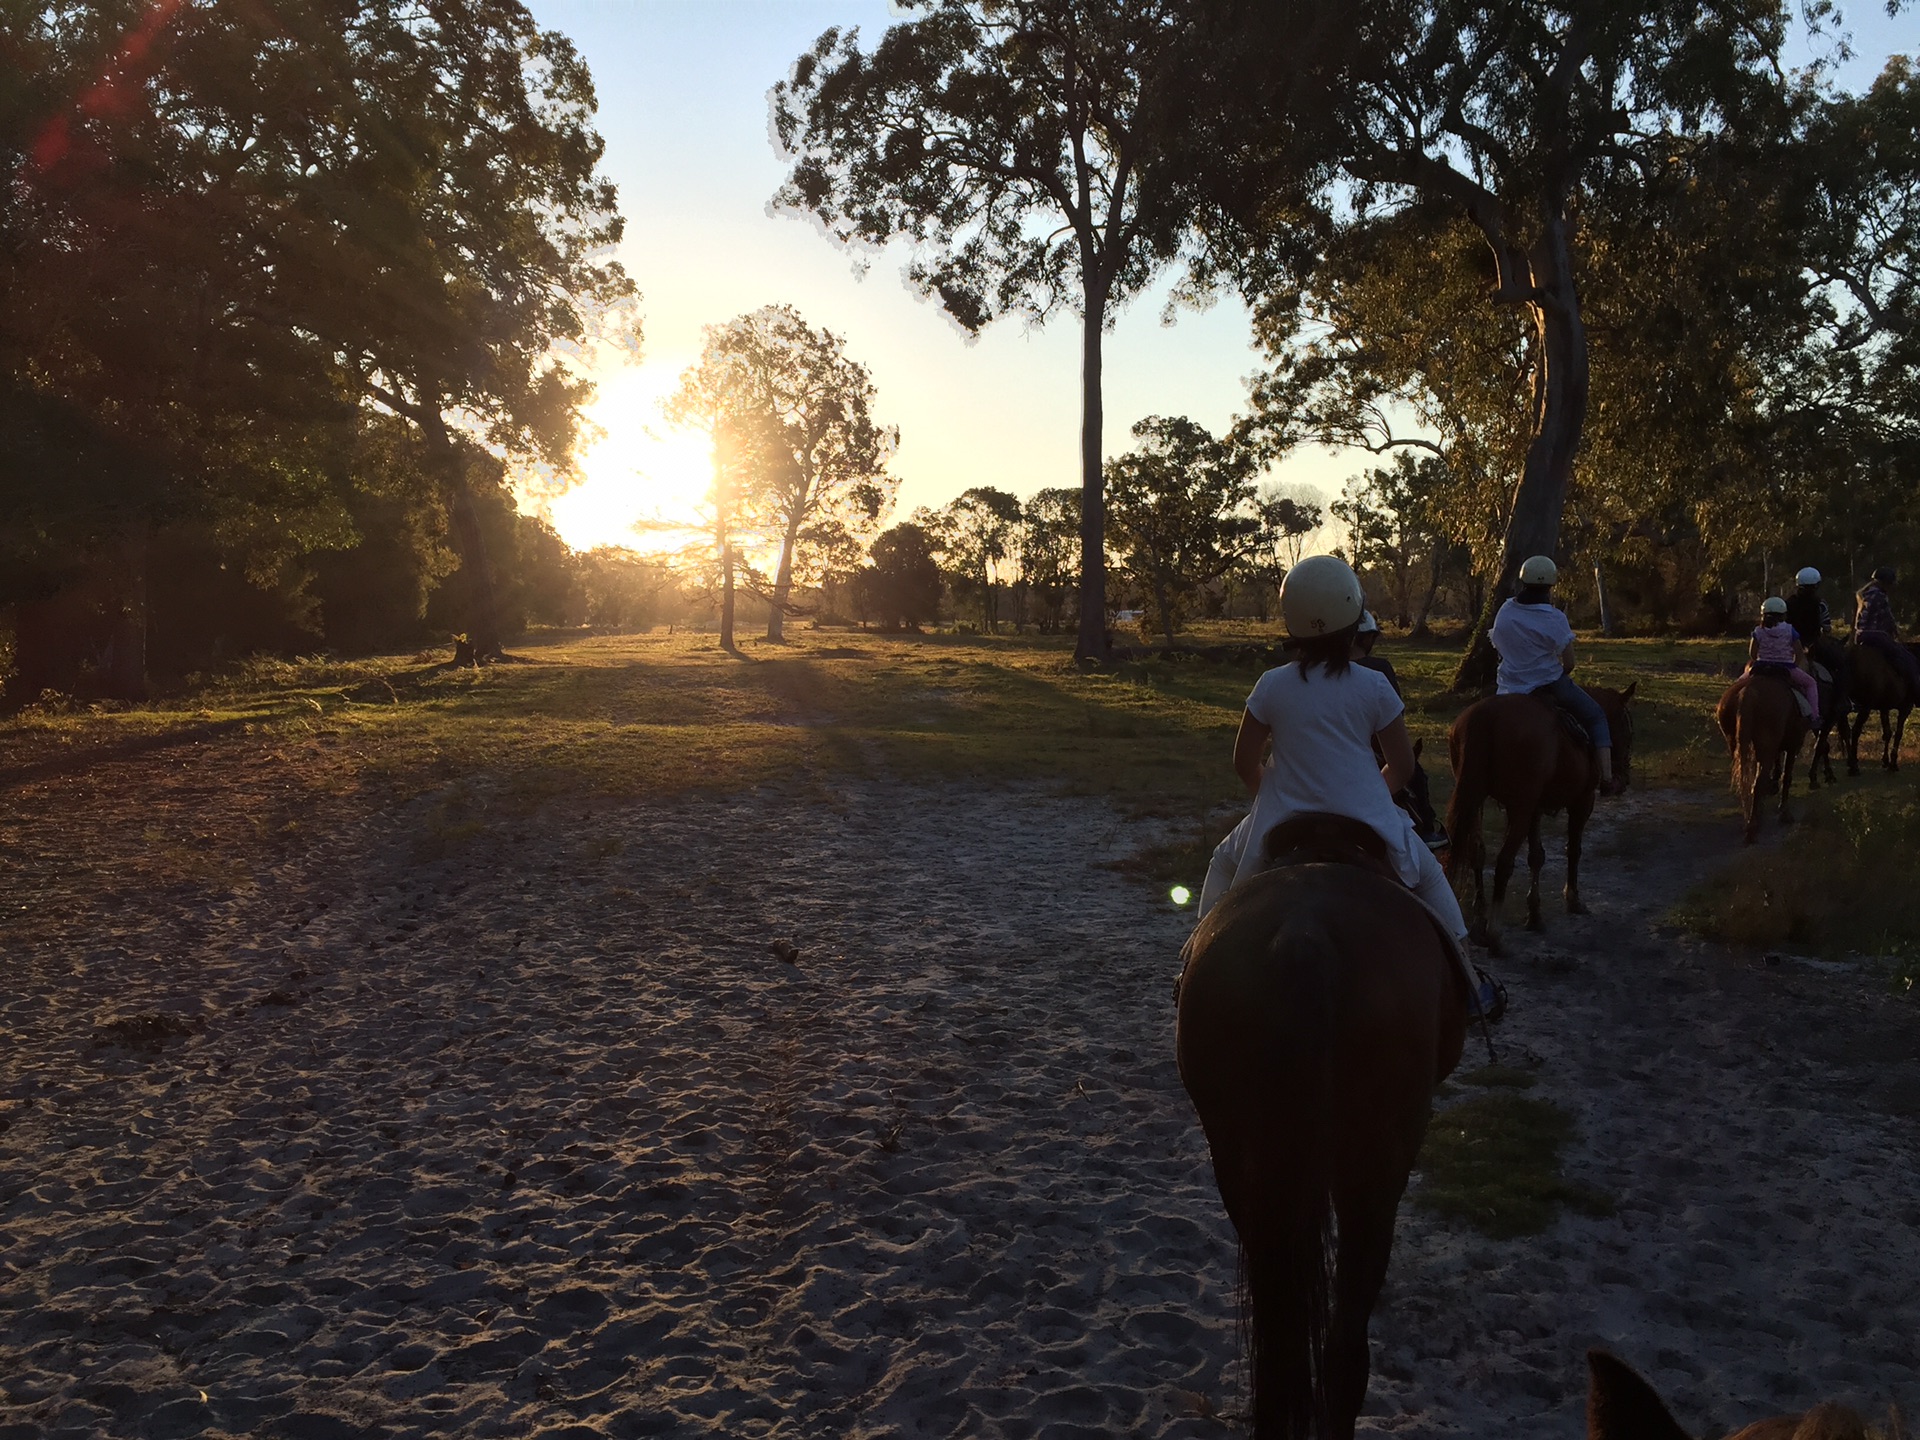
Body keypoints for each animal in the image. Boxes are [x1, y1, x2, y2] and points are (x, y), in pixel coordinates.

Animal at [1443, 683, 1635, 948]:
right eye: (1628, 730)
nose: (1624, 778)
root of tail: (1484, 717)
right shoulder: (1582, 801)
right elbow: (1573, 849)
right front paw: (1572, 899)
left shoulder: (1535, 808)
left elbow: (1536, 856)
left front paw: (1534, 915)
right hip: (1519, 808)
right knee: (1503, 861)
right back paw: (1494, 933)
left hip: (1476, 800)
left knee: (1476, 852)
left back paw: (1480, 921)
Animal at [1720, 675, 1804, 844]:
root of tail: (1747, 693)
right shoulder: (1793, 746)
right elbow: (1787, 777)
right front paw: (1784, 812)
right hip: (1766, 746)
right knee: (1758, 783)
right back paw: (1752, 827)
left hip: (1735, 746)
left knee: (1746, 781)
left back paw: (1751, 819)